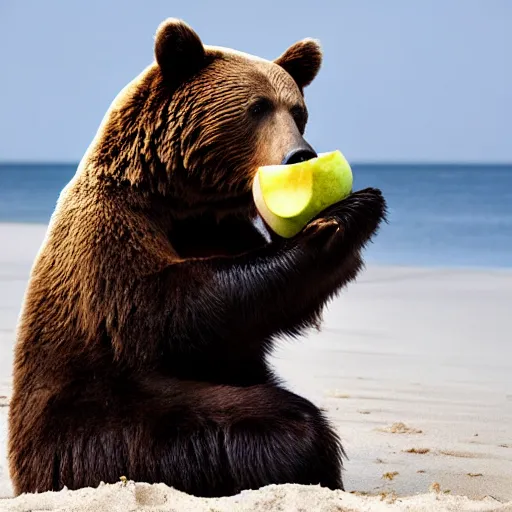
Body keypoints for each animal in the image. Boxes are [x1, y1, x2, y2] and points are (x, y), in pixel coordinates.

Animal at [8, 18, 386, 498]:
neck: (182, 197)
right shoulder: (111, 233)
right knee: (255, 424)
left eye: (298, 111)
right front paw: (344, 216)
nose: (300, 154)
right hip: (91, 415)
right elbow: (170, 309)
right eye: (257, 107)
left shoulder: (222, 227)